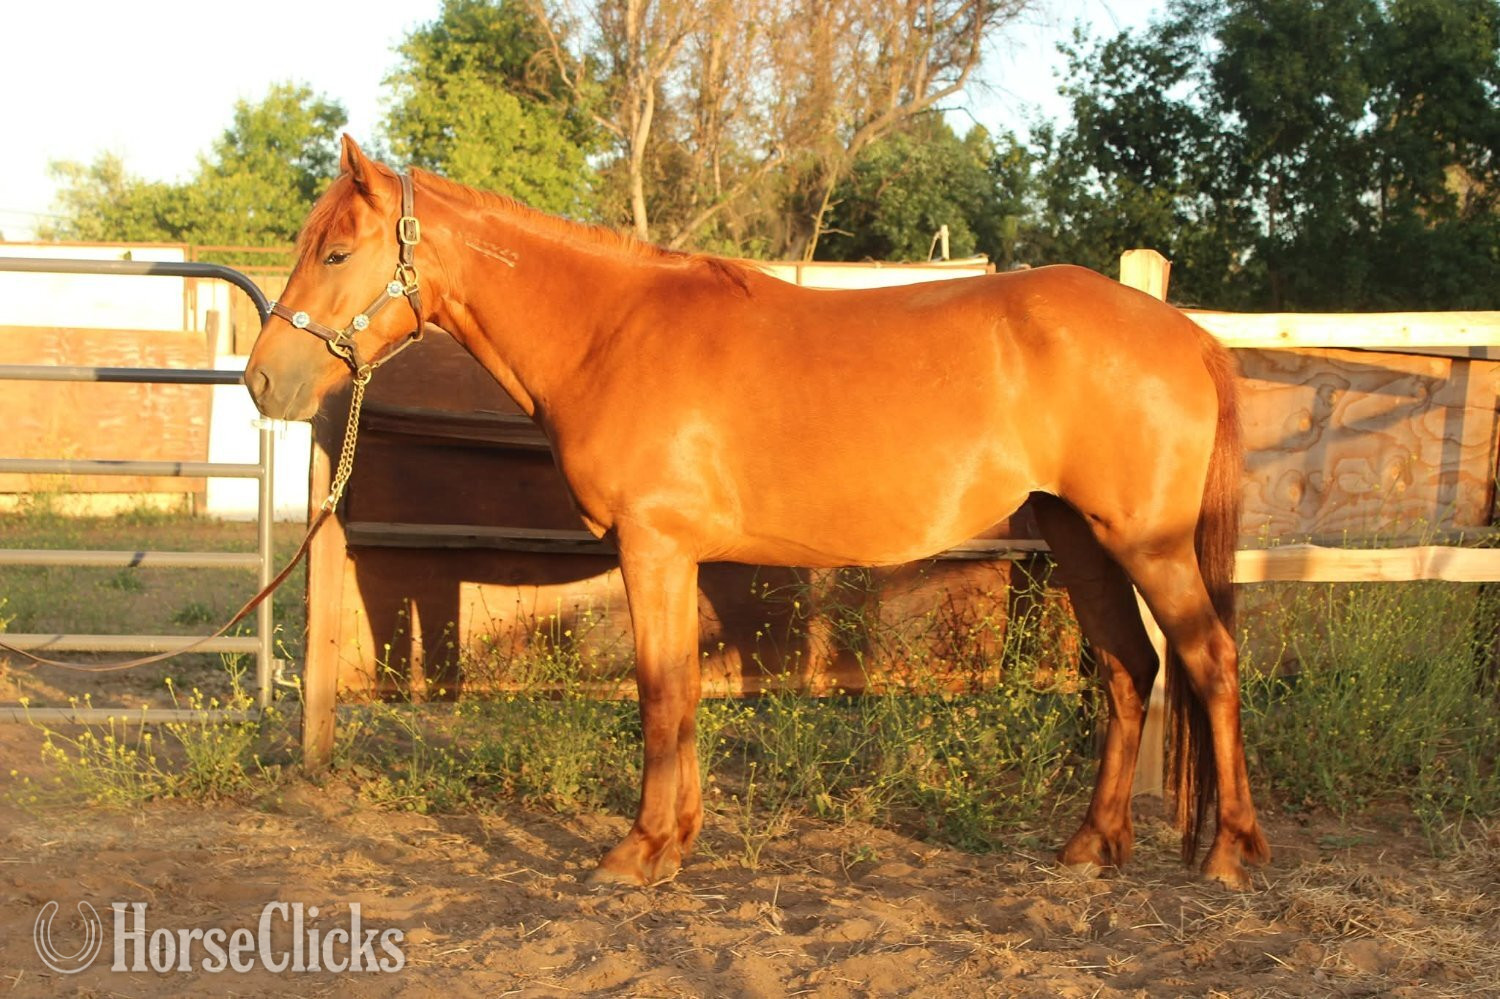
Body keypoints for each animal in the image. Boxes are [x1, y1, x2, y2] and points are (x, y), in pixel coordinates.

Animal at [245, 136, 1270, 890]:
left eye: (336, 251)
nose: (262, 381)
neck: (611, 330)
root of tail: (1184, 332)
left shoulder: (653, 546)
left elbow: (661, 692)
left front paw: (636, 853)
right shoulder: (676, 555)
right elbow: (684, 691)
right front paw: (676, 841)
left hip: (1145, 544)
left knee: (1211, 661)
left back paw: (1228, 852)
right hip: (1078, 536)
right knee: (1130, 669)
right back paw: (1092, 845)